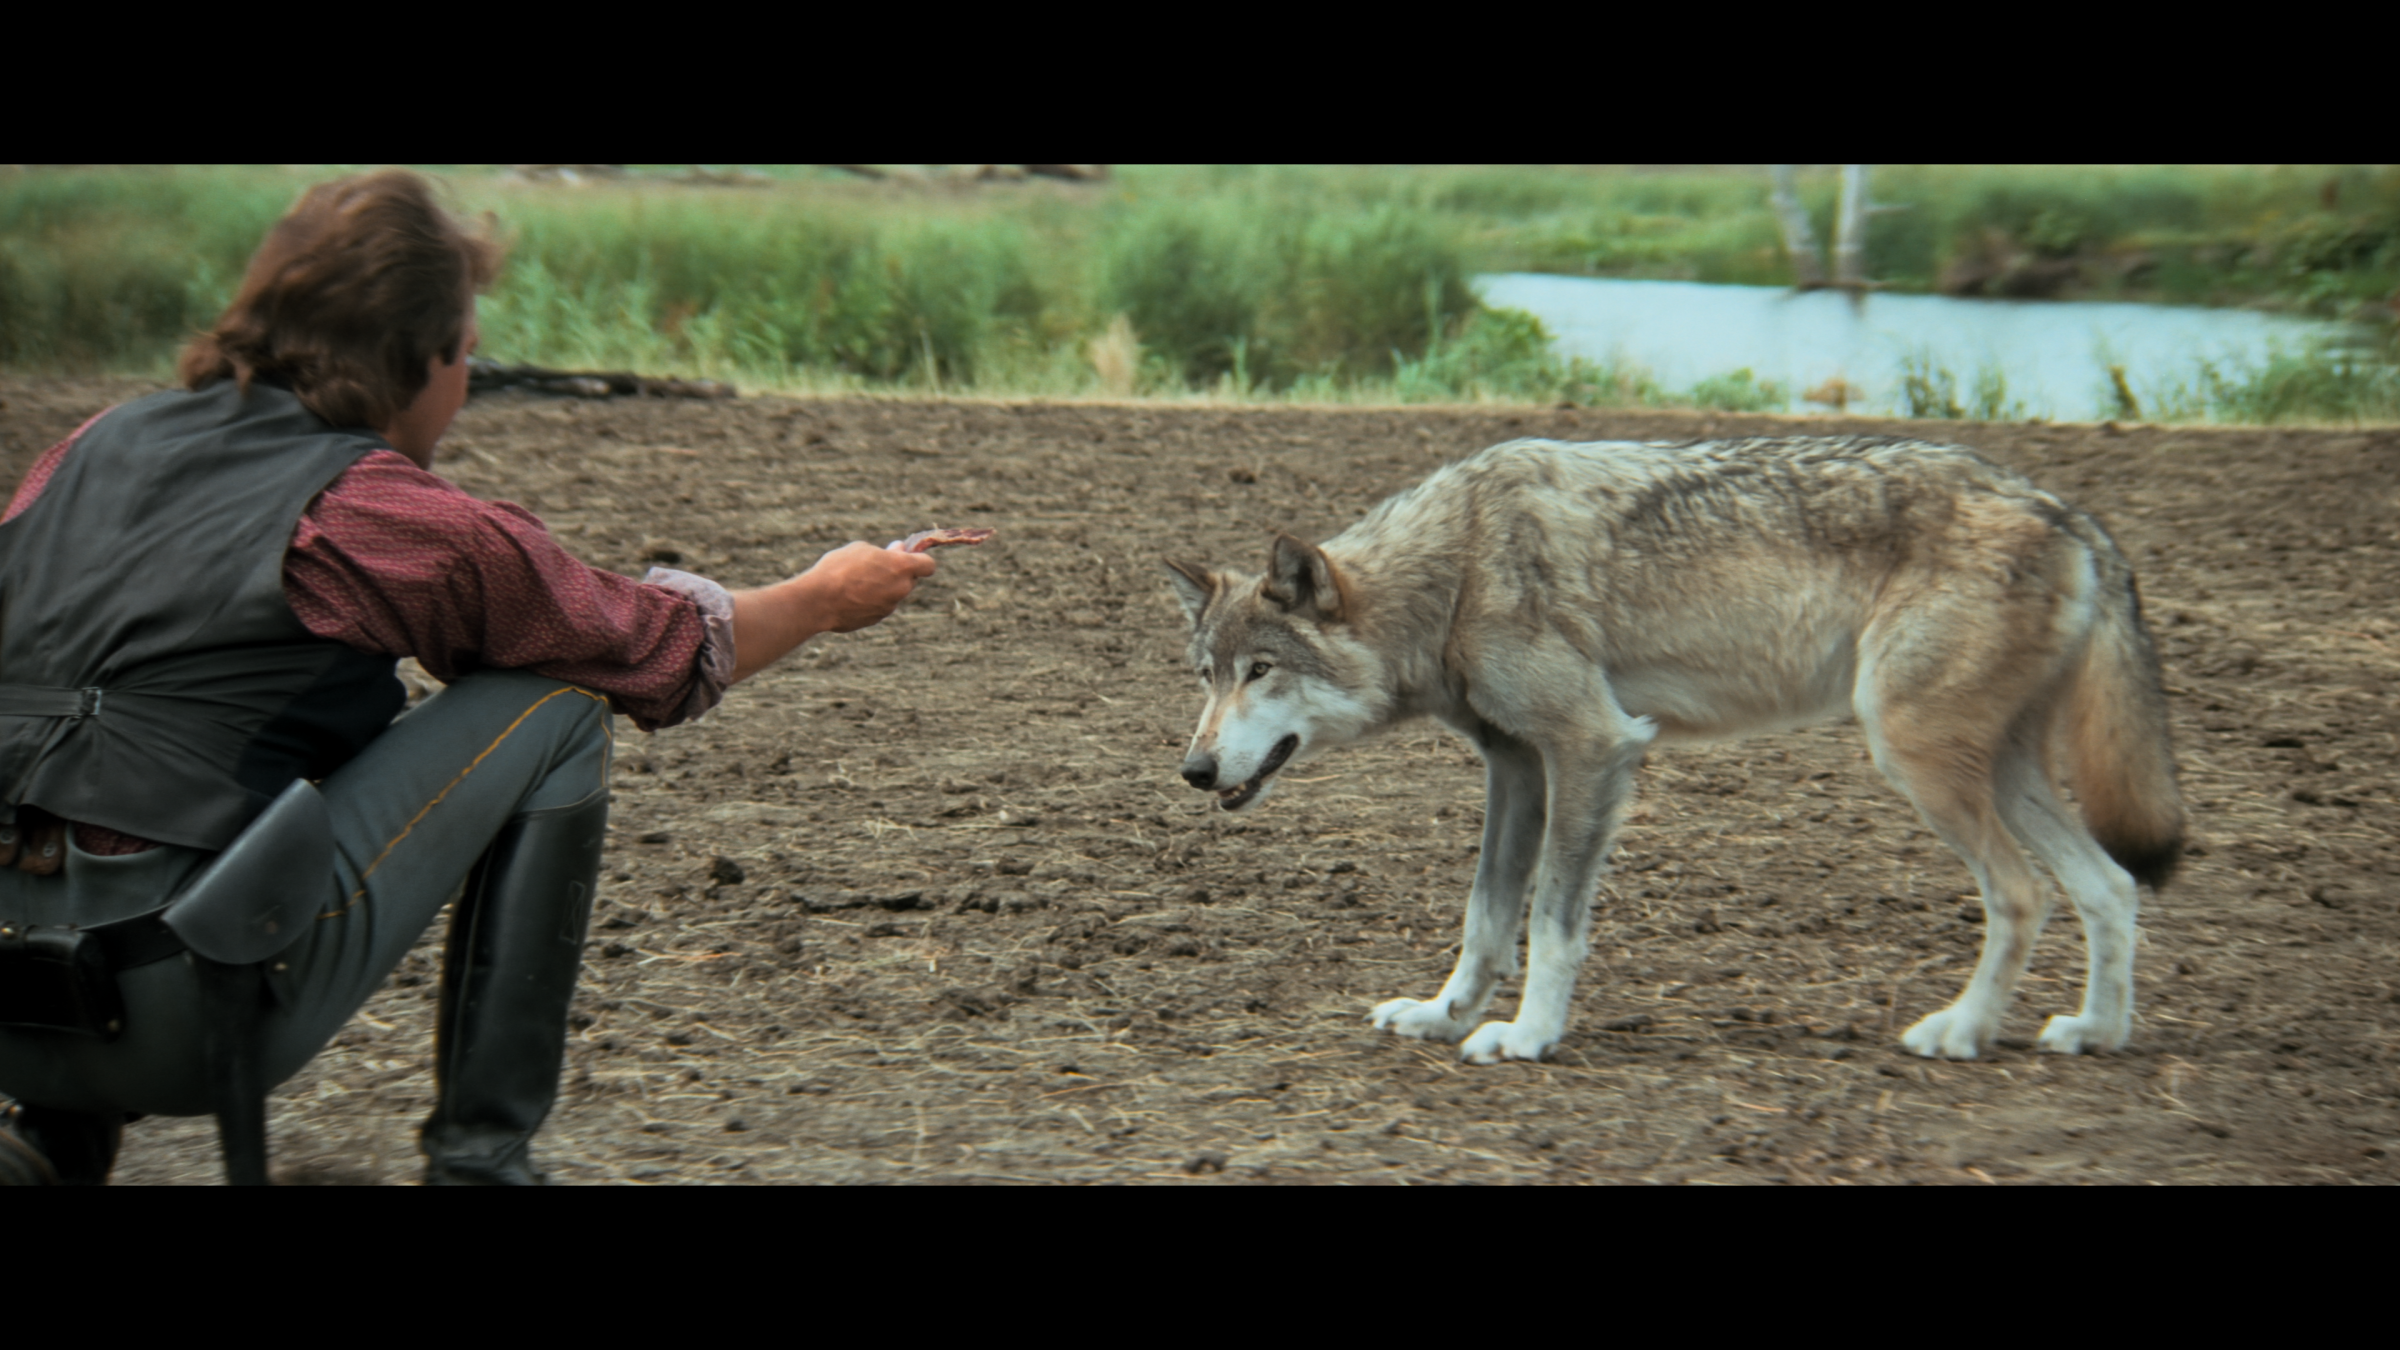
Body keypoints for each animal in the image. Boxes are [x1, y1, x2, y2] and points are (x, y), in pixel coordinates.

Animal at [1164, 436, 2182, 1064]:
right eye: (1206, 676)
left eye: (1262, 671)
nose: (1194, 771)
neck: (1456, 569)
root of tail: (2069, 510)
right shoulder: (1517, 768)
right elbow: (1485, 919)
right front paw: (1443, 1017)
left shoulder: (1595, 748)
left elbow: (1551, 925)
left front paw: (1527, 1038)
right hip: (1992, 773)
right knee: (2110, 886)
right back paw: (2097, 1031)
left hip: (1919, 760)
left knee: (2023, 895)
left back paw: (1962, 1030)